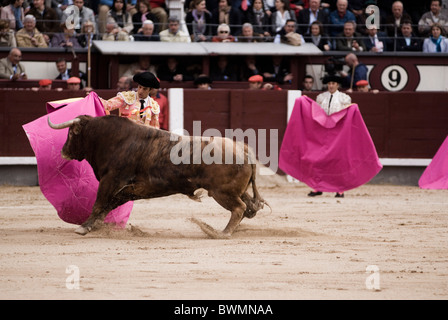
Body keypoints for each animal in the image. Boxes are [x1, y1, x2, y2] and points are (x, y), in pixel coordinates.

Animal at [47, 115, 268, 238]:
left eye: (71, 133)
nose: (63, 151)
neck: (112, 139)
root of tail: (243, 149)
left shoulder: (111, 181)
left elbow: (99, 203)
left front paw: (83, 228)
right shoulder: (127, 190)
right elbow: (107, 206)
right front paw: (95, 226)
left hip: (221, 192)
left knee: (239, 208)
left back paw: (223, 233)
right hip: (235, 190)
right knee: (249, 206)